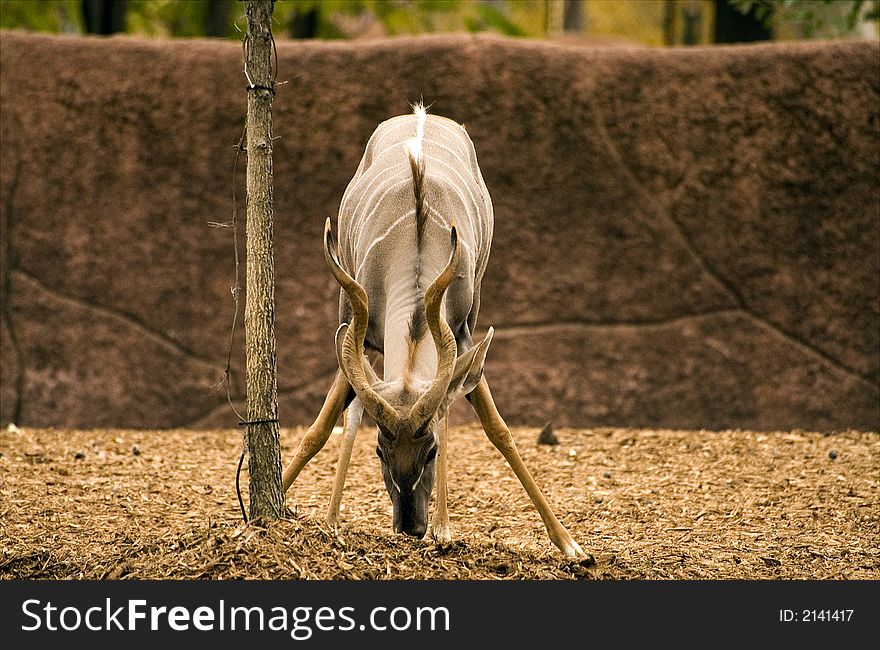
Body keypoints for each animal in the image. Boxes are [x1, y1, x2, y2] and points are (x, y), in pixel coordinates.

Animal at [282, 102, 584, 556]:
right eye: (380, 451)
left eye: (430, 453)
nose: (410, 526)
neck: (415, 243)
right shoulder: (355, 326)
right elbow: (322, 427)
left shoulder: (462, 332)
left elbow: (493, 427)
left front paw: (567, 543)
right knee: (351, 414)